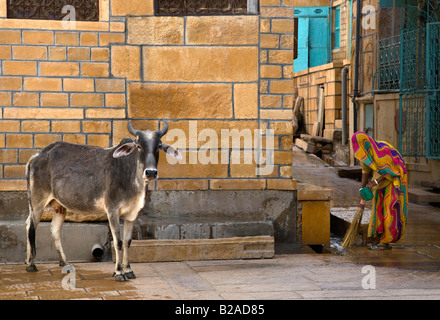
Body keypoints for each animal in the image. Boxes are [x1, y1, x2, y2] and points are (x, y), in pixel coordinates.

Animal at [23, 121, 182, 282]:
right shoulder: (112, 211)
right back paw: (30, 264)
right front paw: (119, 272)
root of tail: (39, 154)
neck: (130, 175)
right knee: (30, 225)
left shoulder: (132, 213)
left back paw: (65, 263)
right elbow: (118, 242)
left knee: (54, 229)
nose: (151, 172)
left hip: (60, 206)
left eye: (159, 145)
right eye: (138, 145)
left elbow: (127, 242)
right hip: (37, 201)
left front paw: (128, 270)